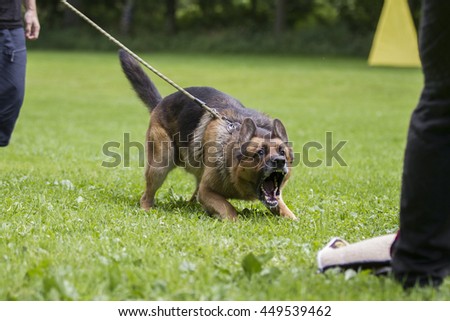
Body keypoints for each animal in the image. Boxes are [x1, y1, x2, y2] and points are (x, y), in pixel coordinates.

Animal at [118, 49, 298, 220]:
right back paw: (147, 208)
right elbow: (228, 208)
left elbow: (284, 208)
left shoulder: (275, 197)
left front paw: (293, 219)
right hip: (160, 164)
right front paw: (235, 221)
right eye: (260, 152)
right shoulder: (206, 191)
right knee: (147, 195)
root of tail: (160, 103)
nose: (279, 161)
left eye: (282, 152)